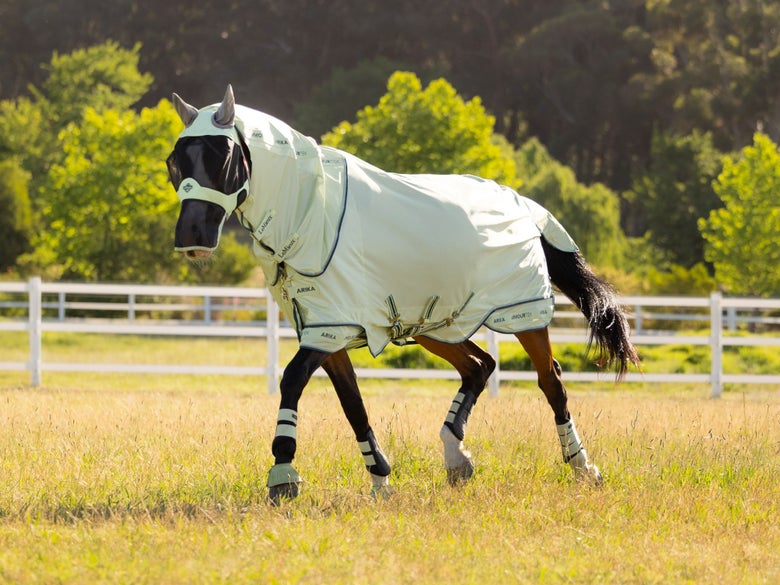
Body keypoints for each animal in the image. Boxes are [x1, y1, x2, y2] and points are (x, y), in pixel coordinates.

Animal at [167, 85, 639, 501]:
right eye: (175, 162)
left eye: (224, 157)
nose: (191, 236)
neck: (309, 213)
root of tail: (523, 205)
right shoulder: (327, 330)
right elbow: (352, 404)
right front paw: (380, 480)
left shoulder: (328, 331)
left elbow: (292, 381)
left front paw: (282, 476)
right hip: (434, 323)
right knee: (479, 366)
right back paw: (456, 456)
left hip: (522, 316)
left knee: (550, 381)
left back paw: (583, 467)